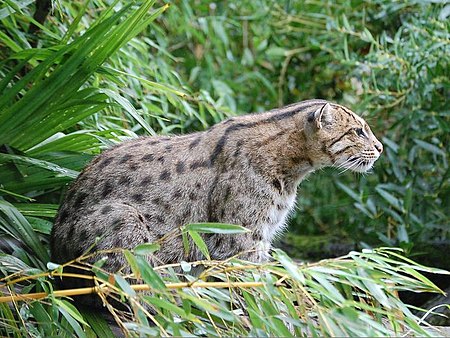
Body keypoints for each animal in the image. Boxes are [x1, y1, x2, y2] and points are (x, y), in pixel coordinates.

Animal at [51, 99, 384, 276]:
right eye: (358, 131)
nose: (380, 148)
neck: (294, 170)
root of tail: (54, 246)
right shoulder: (243, 240)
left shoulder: (260, 238)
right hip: (124, 220)